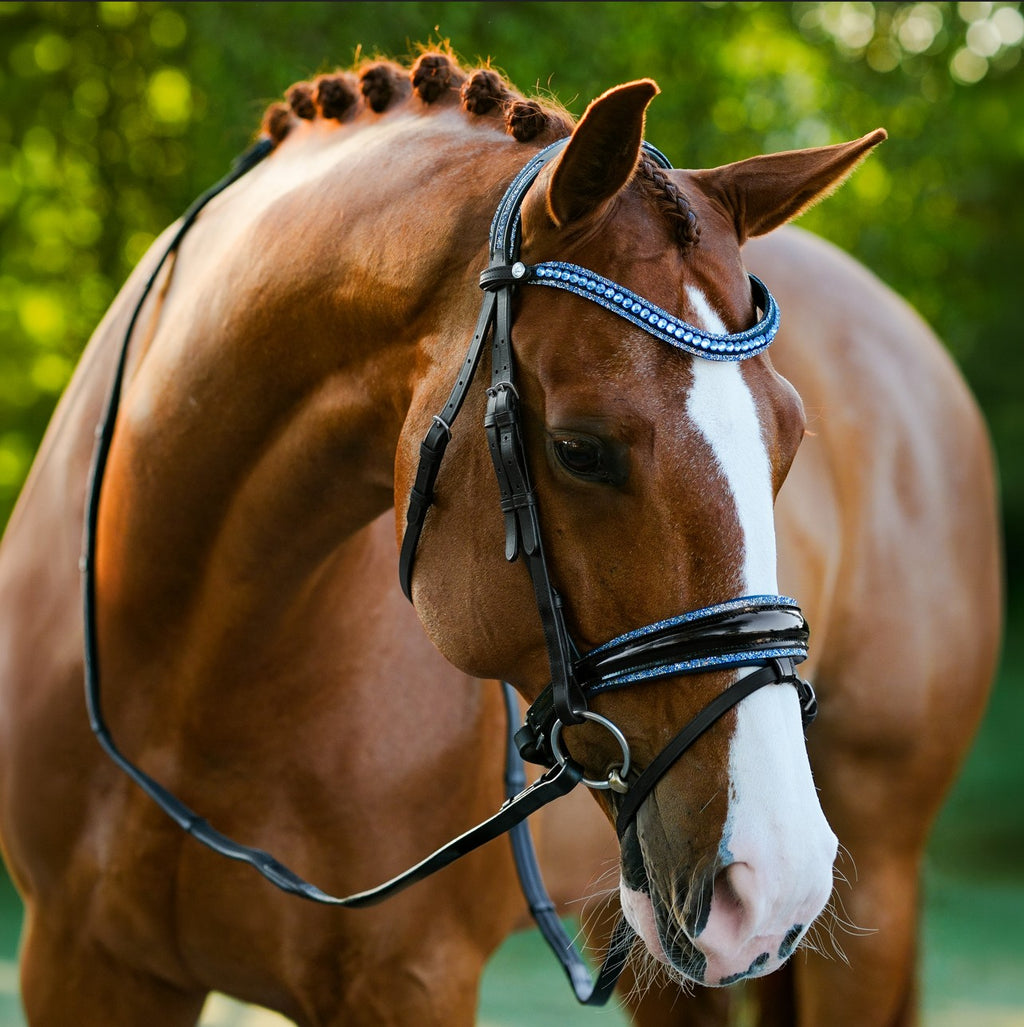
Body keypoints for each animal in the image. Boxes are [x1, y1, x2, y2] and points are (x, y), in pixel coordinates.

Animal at [0, 51, 1001, 1027]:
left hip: (869, 875)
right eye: (580, 450)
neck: (188, 659)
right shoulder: (81, 963)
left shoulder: (408, 979)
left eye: (790, 441)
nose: (774, 877)